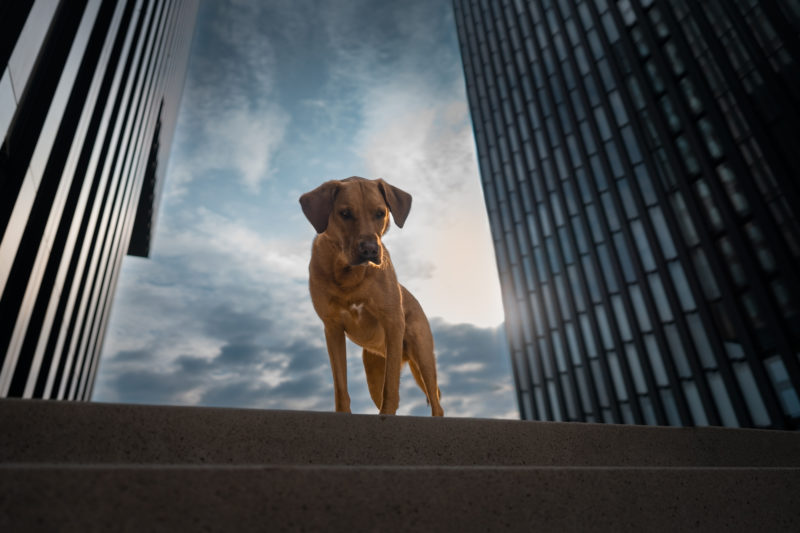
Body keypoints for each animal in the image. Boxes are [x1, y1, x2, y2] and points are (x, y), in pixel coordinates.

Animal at [302, 176, 444, 416]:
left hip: (422, 353)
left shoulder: (393, 322)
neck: (349, 274)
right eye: (345, 213)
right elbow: (341, 386)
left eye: (380, 213)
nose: (369, 249)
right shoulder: (332, 328)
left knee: (435, 402)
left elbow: (391, 388)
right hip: (373, 371)